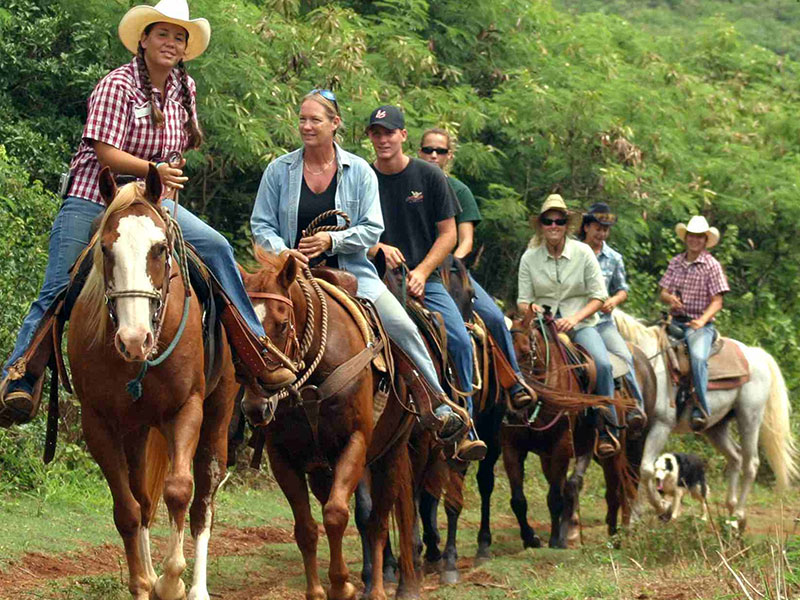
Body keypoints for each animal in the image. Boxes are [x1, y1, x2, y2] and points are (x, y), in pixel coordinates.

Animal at [67, 165, 238, 600]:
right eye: (105, 249)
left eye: (160, 248)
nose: (134, 339)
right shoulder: (100, 423)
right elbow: (128, 510)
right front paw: (143, 583)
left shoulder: (186, 408)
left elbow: (178, 490)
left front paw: (170, 581)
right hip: (137, 429)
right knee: (143, 499)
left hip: (218, 411)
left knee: (203, 500)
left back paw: (197, 588)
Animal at [241, 251, 418, 600]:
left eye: (282, 324)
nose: (255, 406)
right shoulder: (283, 457)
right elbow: (307, 528)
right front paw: (318, 591)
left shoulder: (356, 442)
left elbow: (337, 515)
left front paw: (341, 585)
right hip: (323, 470)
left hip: (391, 454)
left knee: (378, 522)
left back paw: (378, 589)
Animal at [612, 312, 792, 528]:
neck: (649, 366)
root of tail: (756, 354)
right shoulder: (638, 430)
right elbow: (637, 470)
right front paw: (638, 515)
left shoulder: (661, 426)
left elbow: (646, 469)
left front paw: (661, 507)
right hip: (715, 427)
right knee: (736, 457)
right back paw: (731, 509)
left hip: (749, 417)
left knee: (751, 463)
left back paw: (739, 515)